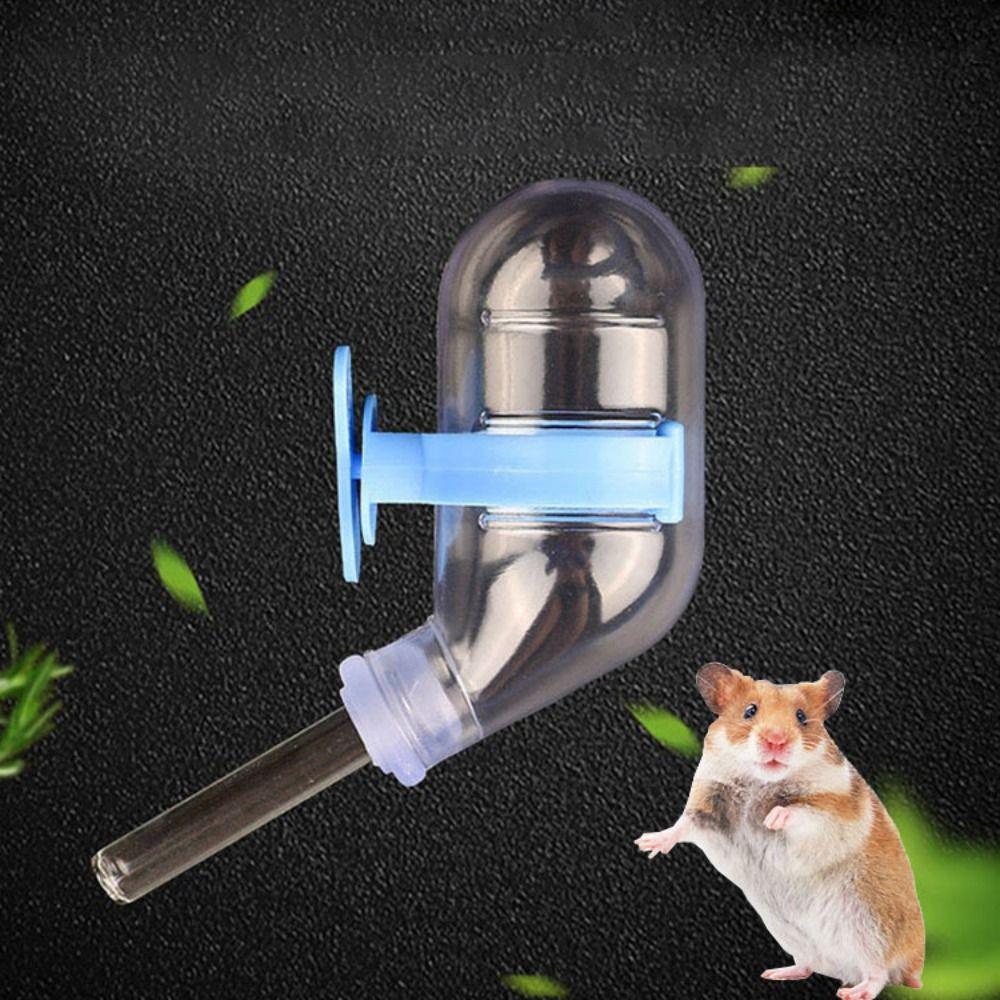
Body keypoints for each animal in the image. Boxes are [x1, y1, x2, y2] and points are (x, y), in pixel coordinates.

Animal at [635, 664, 924, 1000]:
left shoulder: (834, 813)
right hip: (790, 932)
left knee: (879, 972)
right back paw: (776, 973)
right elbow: (683, 824)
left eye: (801, 716)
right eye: (749, 711)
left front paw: (772, 819)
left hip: (870, 927)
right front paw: (645, 844)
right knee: (809, 964)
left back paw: (853, 992)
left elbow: (802, 812)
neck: (761, 781)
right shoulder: (707, 808)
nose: (776, 740)